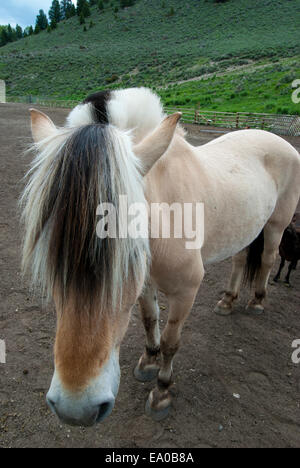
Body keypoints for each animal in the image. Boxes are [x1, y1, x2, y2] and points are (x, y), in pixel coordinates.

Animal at [22, 88, 300, 428]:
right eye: (51, 252)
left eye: (131, 251)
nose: (76, 408)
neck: (167, 209)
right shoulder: (146, 284)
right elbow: (149, 319)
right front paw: (148, 360)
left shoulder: (186, 291)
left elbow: (171, 340)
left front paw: (162, 390)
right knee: (240, 260)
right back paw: (228, 300)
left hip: (276, 226)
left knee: (268, 259)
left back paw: (257, 301)